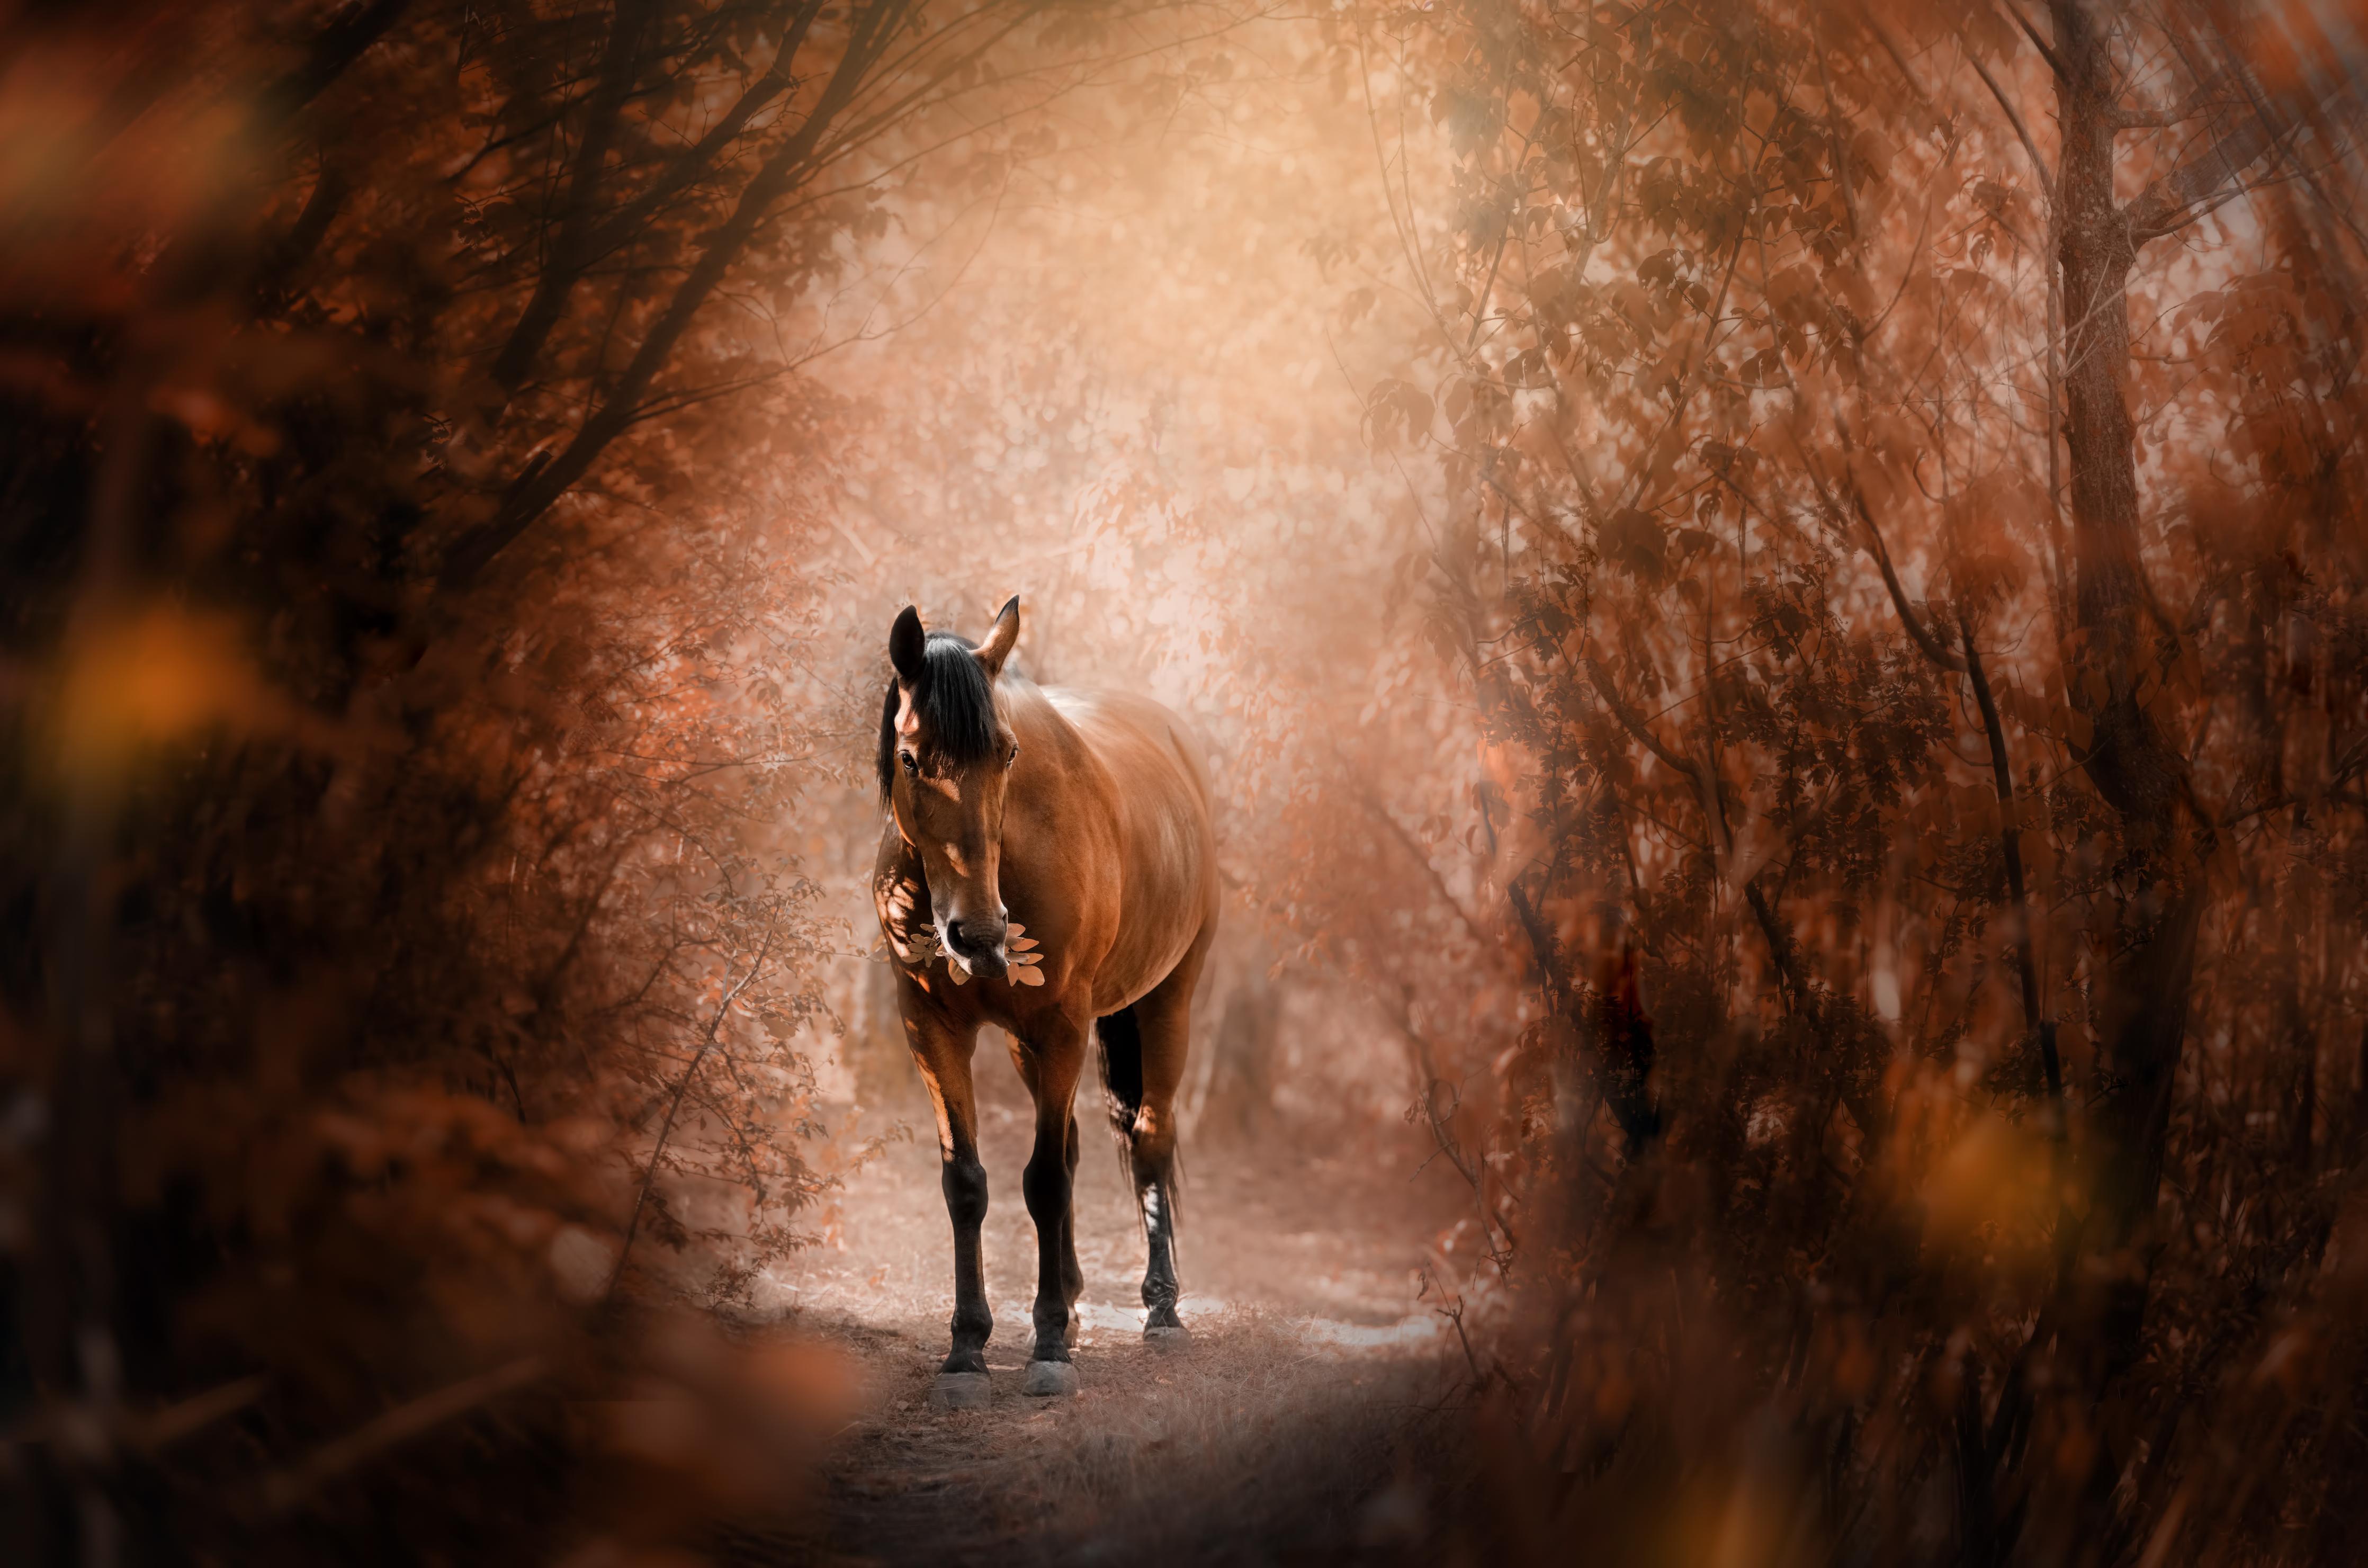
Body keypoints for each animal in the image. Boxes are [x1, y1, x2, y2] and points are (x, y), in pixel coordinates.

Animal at [870, 595, 1219, 1404]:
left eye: (1006, 754)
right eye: (909, 758)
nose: (977, 935)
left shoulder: (1063, 1024)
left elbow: (1047, 1180)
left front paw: (1050, 1347)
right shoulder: (932, 1029)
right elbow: (967, 1182)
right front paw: (968, 1349)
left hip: (1168, 1001)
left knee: (1149, 1138)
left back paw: (1161, 1309)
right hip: (1025, 1042)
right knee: (1079, 1141)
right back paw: (1078, 1299)